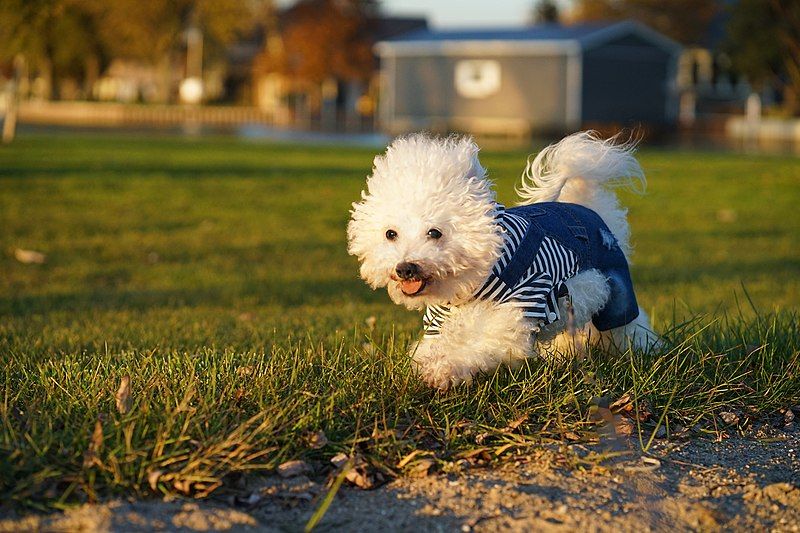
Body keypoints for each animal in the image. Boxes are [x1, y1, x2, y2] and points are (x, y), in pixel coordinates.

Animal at [346, 133, 660, 388]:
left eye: (435, 232)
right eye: (390, 234)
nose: (405, 268)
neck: (475, 279)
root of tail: (590, 208)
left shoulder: (519, 307)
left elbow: (479, 346)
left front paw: (444, 370)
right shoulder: (439, 319)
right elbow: (434, 345)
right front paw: (425, 362)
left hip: (616, 293)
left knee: (628, 326)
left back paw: (646, 352)